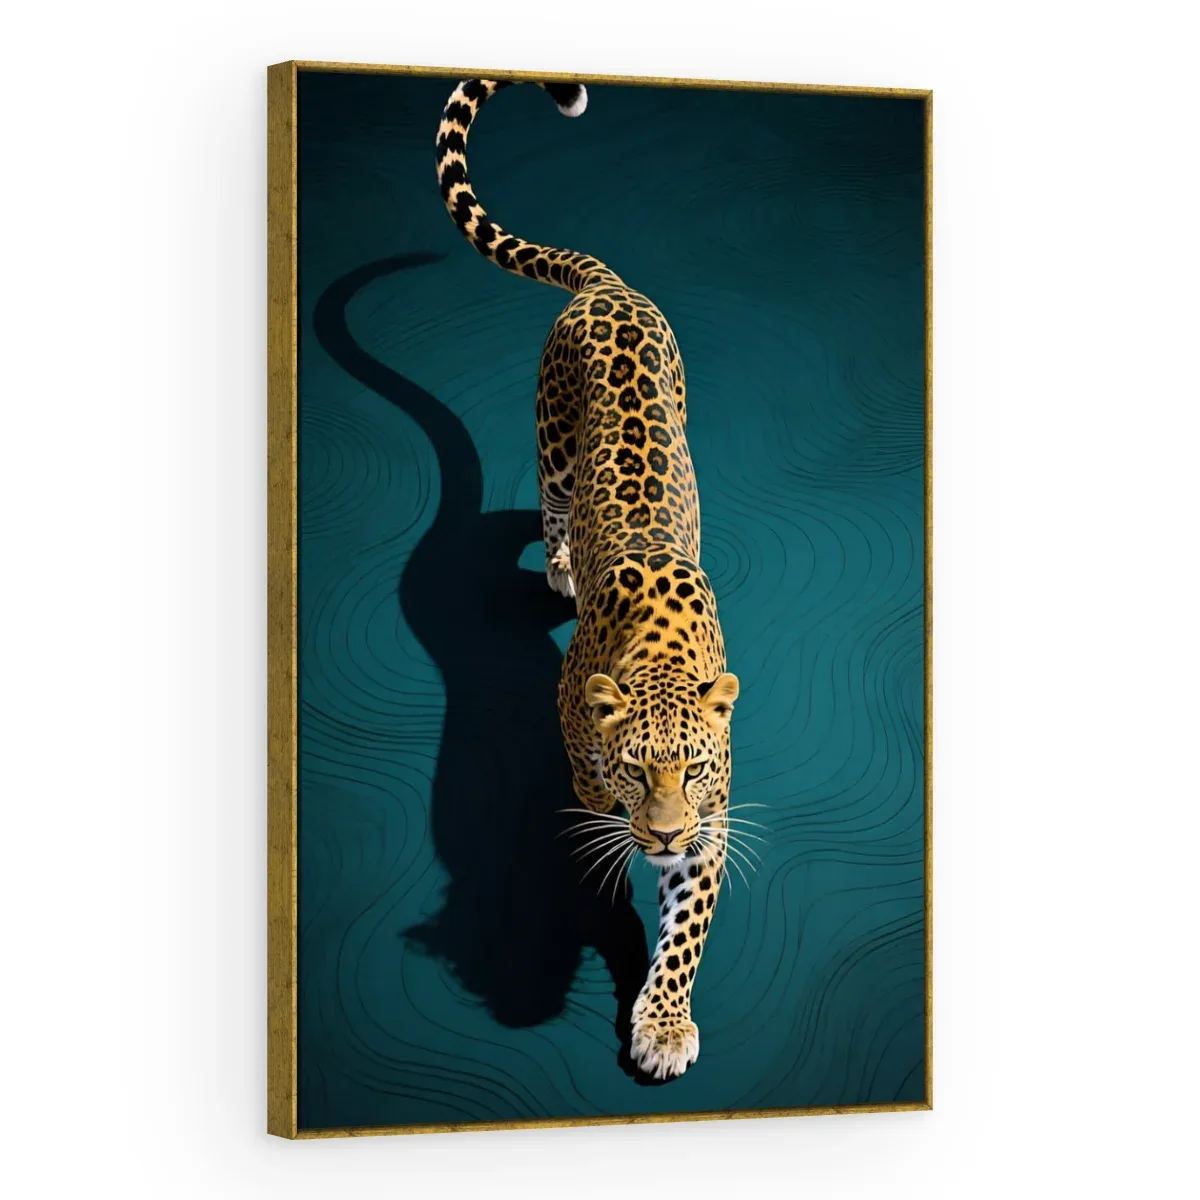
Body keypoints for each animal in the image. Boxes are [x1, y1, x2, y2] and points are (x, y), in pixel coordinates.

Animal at [436, 78, 746, 1080]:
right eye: (636, 766)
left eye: (693, 769)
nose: (664, 831)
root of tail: (610, 287)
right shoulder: (585, 759)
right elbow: (591, 812)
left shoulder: (716, 822)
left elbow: (686, 930)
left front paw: (663, 1026)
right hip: (553, 439)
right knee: (550, 500)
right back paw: (563, 565)